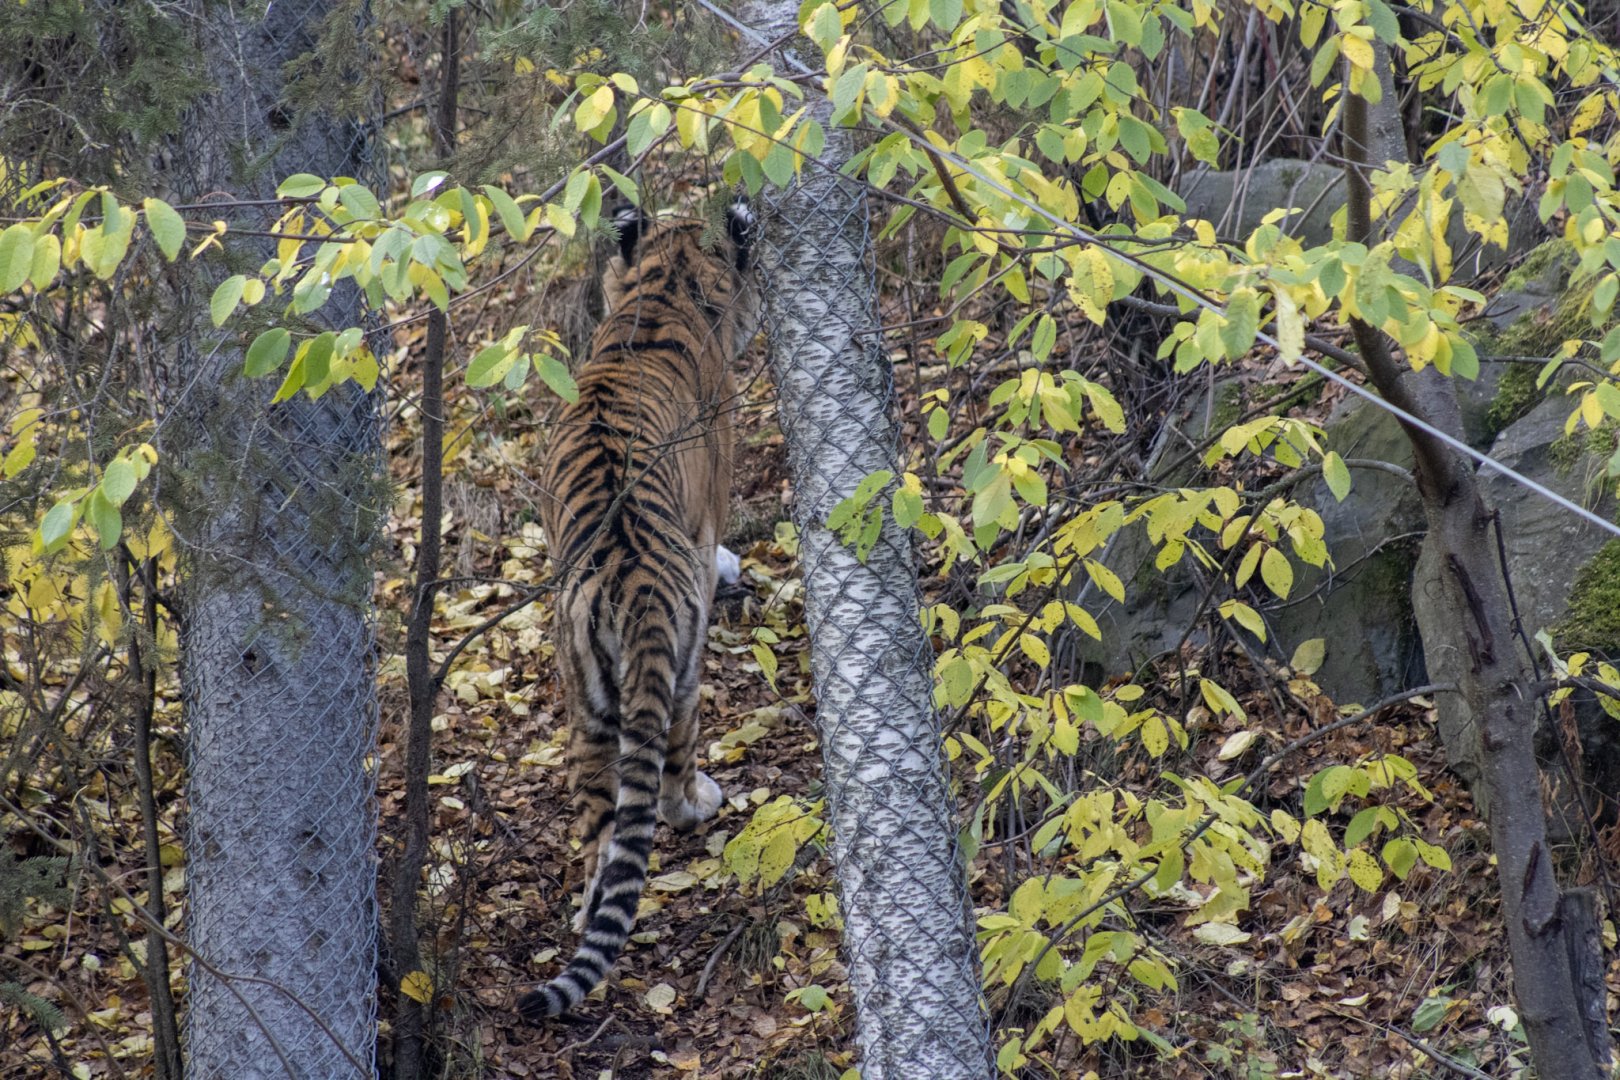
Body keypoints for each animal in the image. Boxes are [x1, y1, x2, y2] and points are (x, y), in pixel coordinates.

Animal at [518, 198, 758, 1021]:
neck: (662, 290)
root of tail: (638, 587)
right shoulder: (711, 511)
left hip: (586, 699)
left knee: (601, 836)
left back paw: (589, 907)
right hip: (681, 663)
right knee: (673, 759)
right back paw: (699, 800)